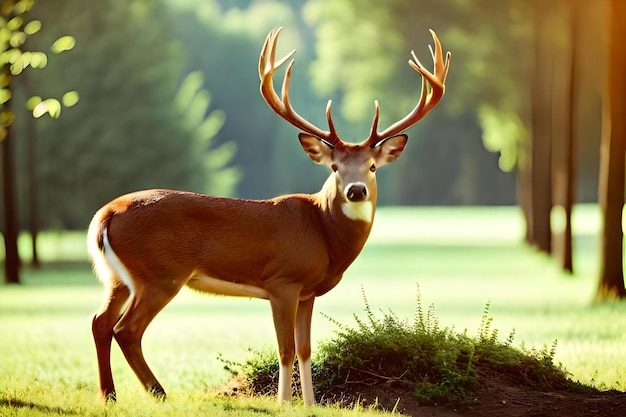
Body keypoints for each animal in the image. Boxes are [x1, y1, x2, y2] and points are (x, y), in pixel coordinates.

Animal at [88, 26, 448, 404]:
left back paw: (108, 395)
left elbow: (306, 348)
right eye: (334, 167)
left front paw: (310, 404)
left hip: (119, 278)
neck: (325, 235)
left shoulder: (307, 291)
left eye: (373, 167)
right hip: (161, 273)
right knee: (126, 329)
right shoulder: (283, 281)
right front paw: (284, 402)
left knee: (100, 321)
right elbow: (285, 349)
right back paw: (157, 393)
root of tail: (105, 214)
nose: (356, 190)